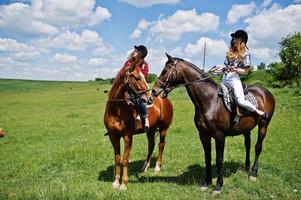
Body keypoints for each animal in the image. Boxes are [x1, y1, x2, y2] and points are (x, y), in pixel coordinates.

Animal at [103, 58, 172, 192]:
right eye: (137, 77)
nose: (150, 98)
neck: (116, 110)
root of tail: (165, 99)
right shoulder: (113, 136)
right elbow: (117, 158)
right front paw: (116, 182)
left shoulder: (127, 136)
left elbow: (125, 159)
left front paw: (123, 184)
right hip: (150, 130)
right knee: (151, 145)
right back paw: (145, 166)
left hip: (163, 128)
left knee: (161, 145)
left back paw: (157, 167)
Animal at [151, 54, 276, 195]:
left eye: (165, 71)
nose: (154, 90)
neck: (211, 101)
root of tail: (266, 92)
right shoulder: (204, 135)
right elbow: (208, 157)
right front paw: (207, 182)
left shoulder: (219, 136)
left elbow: (219, 159)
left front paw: (218, 186)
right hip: (246, 129)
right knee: (248, 145)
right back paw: (246, 167)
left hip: (263, 125)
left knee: (257, 147)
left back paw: (253, 174)